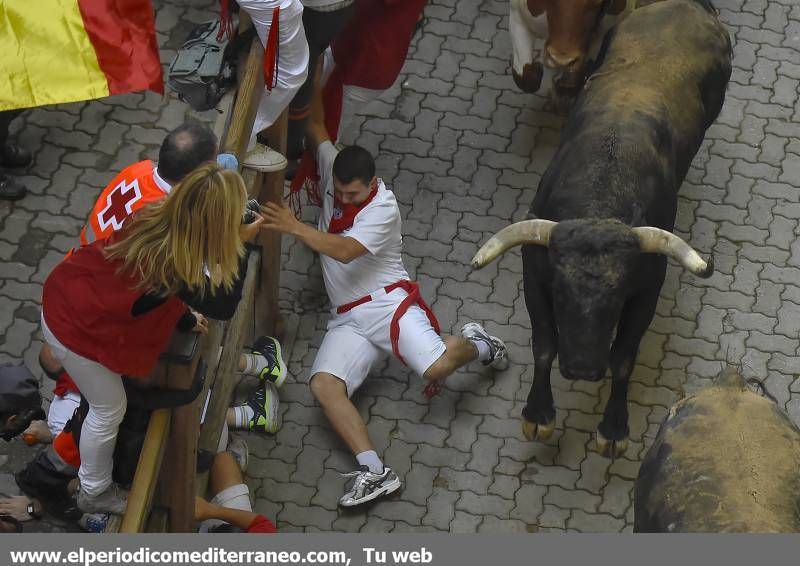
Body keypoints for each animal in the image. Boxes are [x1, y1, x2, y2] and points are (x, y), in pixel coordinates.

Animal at [476, 0, 732, 460]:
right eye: (561, 295)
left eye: (616, 299)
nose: (581, 368)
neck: (604, 181)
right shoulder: (534, 276)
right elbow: (544, 345)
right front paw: (538, 415)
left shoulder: (646, 290)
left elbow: (624, 357)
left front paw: (613, 427)